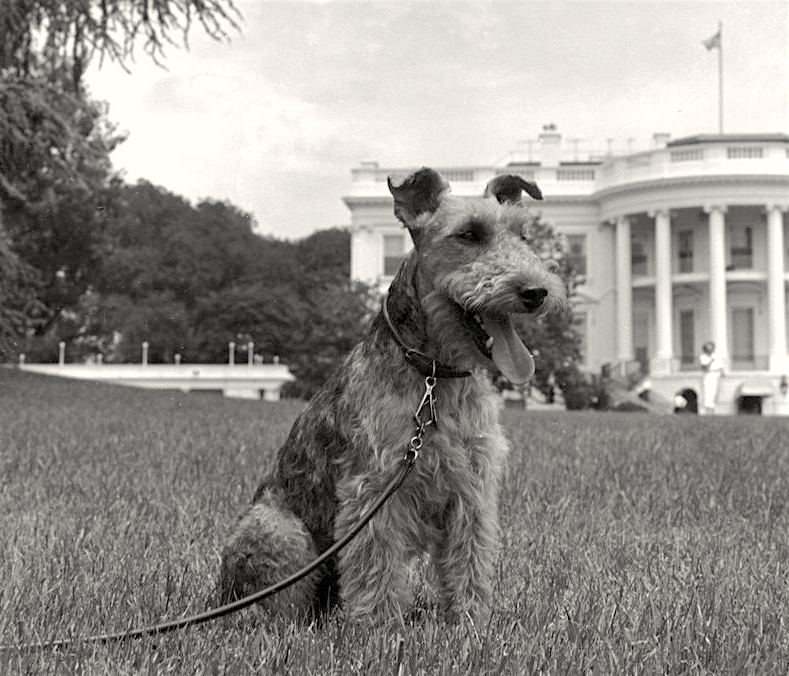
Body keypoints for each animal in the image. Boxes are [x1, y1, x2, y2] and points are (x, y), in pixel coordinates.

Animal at [215, 166, 568, 624]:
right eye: (469, 234)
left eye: (523, 236)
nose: (536, 292)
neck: (435, 378)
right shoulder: (374, 486)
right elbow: (376, 567)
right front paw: (380, 629)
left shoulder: (472, 489)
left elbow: (469, 563)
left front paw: (471, 623)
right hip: (281, 530)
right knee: (270, 606)